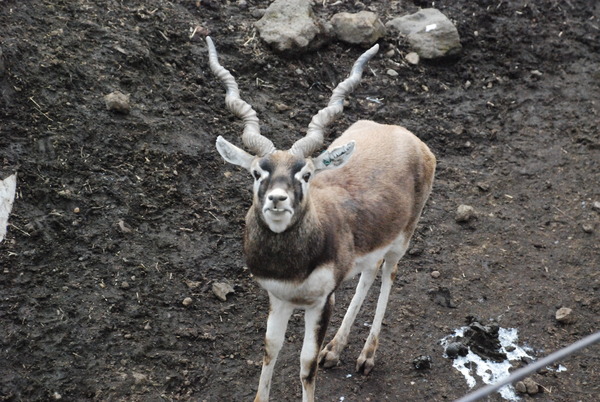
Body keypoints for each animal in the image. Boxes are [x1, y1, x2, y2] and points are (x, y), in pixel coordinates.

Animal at [206, 37, 436, 402]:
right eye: (257, 173)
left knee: (389, 275)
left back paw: (367, 356)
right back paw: (336, 349)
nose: (277, 199)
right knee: (369, 273)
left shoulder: (321, 302)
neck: (292, 267)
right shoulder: (278, 298)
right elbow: (270, 349)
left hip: (403, 238)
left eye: (306, 174)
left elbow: (305, 364)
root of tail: (402, 134)